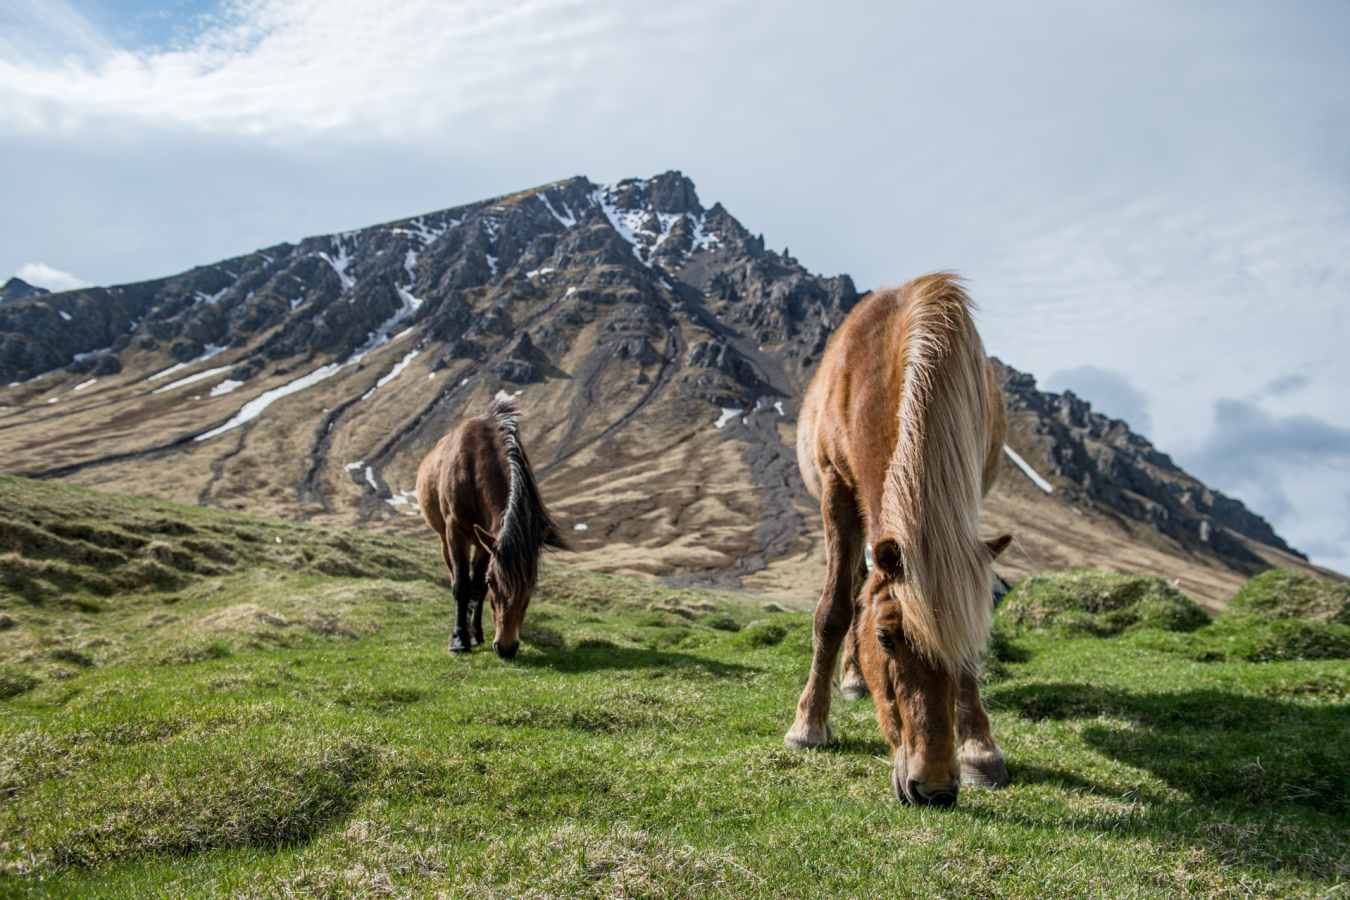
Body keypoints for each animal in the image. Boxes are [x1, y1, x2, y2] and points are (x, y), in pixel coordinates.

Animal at [416, 395, 566, 659]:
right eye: (494, 582)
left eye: (531, 587)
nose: (506, 647)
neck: (474, 465)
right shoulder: (456, 530)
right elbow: (462, 586)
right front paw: (459, 639)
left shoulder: (488, 540)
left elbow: (477, 587)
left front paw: (474, 634)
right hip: (446, 538)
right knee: (455, 576)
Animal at [785, 272, 1012, 807]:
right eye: (886, 638)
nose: (933, 789)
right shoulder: (836, 487)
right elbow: (834, 611)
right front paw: (808, 725)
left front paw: (980, 749)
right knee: (852, 588)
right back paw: (848, 680)